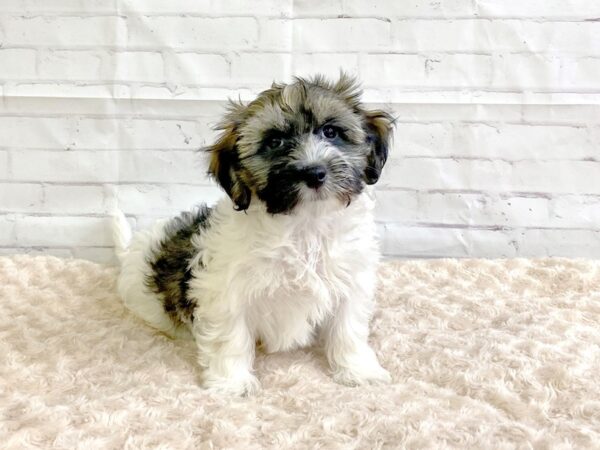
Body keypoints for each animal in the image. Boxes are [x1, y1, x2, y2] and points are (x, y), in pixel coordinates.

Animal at [112, 74, 394, 394]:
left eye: (331, 132)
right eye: (274, 142)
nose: (313, 172)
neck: (304, 224)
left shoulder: (351, 281)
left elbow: (348, 329)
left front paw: (358, 370)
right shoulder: (224, 292)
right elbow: (230, 337)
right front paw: (231, 383)